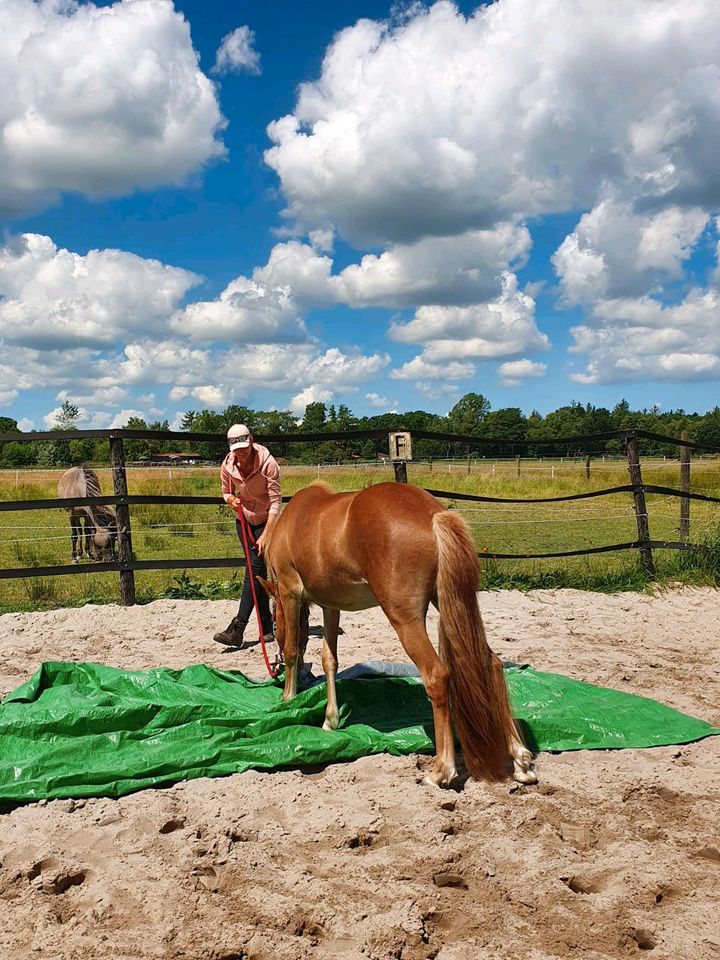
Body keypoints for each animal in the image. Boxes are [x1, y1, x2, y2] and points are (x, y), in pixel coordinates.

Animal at [258, 480, 536, 788]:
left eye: (275, 626)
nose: (274, 663)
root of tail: (433, 514)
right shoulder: (331, 606)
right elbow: (329, 660)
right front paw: (330, 720)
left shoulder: (290, 592)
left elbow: (294, 650)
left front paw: (287, 701)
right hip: (452, 602)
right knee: (492, 664)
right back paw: (520, 759)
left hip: (405, 619)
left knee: (436, 675)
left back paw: (441, 770)